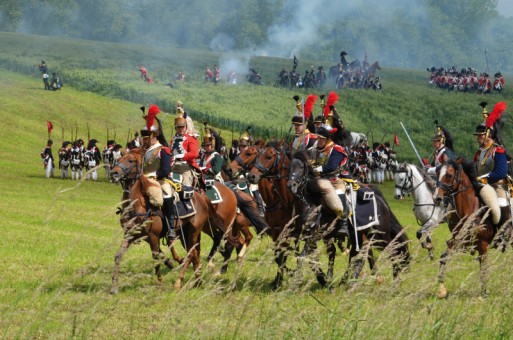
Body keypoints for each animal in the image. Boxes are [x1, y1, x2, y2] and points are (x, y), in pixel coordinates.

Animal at [288, 150, 408, 286]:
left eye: (301, 167)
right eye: (289, 167)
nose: (291, 185)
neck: (312, 204)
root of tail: (382, 203)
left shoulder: (314, 236)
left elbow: (304, 256)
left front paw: (297, 280)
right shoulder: (308, 237)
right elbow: (312, 255)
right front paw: (326, 279)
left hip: (380, 235)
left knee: (391, 251)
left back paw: (394, 281)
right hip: (361, 234)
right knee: (358, 254)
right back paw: (348, 281)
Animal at [434, 158, 498, 298]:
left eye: (449, 175)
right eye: (437, 173)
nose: (437, 198)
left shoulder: (483, 246)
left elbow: (483, 268)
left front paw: (484, 294)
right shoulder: (457, 242)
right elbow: (443, 258)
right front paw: (441, 289)